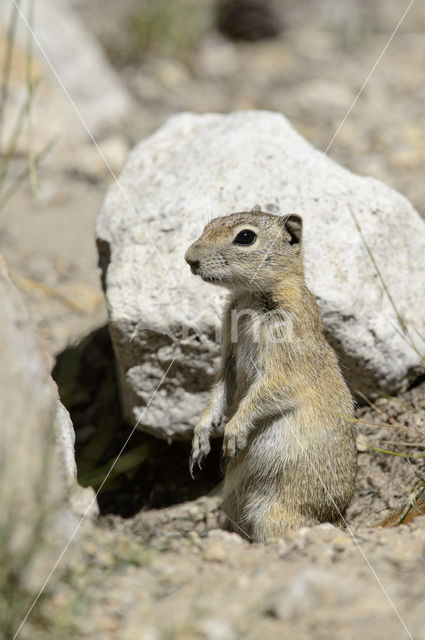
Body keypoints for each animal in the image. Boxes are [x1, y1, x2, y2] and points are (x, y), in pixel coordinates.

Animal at [184, 210, 356, 540]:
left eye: (245, 237)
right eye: (208, 225)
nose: (189, 259)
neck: (249, 298)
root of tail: (337, 521)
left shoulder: (285, 365)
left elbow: (268, 392)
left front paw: (232, 434)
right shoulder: (228, 356)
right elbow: (220, 390)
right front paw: (200, 438)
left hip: (270, 515)